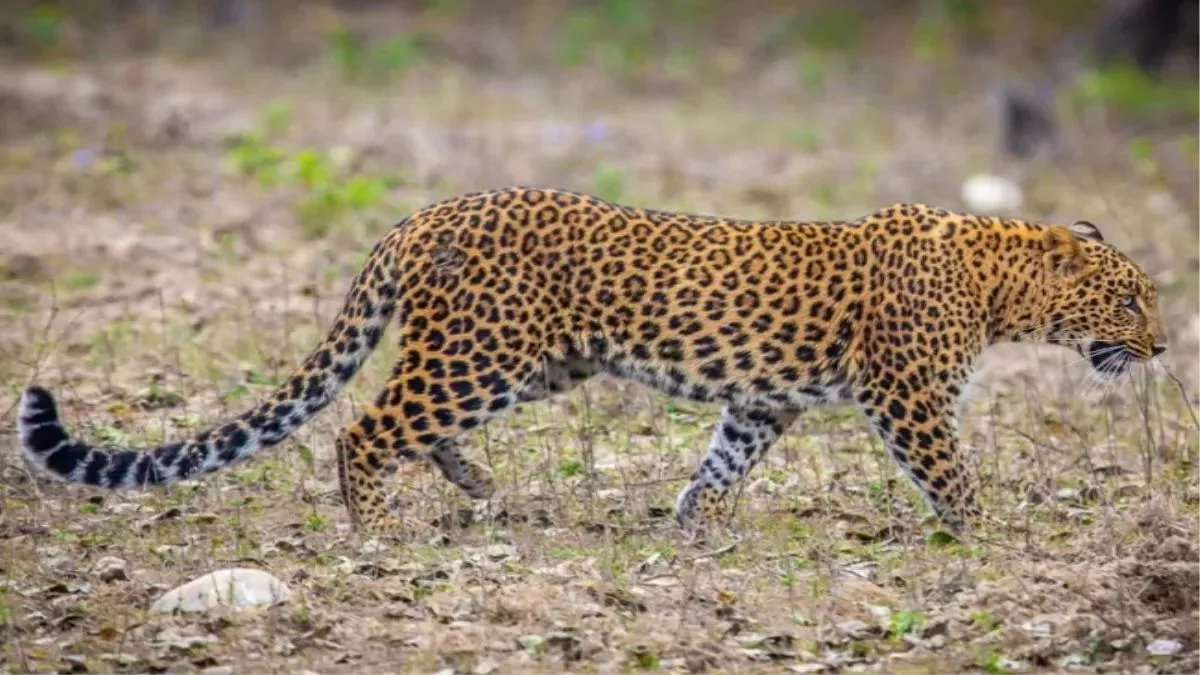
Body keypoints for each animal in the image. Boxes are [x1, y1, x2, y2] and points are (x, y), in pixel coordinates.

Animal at [17, 187, 1168, 537]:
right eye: (1130, 297)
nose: (1161, 346)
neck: (1002, 284)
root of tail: (426, 212)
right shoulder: (909, 393)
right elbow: (951, 473)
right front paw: (992, 539)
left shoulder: (767, 402)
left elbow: (724, 461)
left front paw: (693, 529)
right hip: (480, 353)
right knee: (364, 428)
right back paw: (378, 530)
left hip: (531, 364)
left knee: (413, 429)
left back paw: (477, 484)